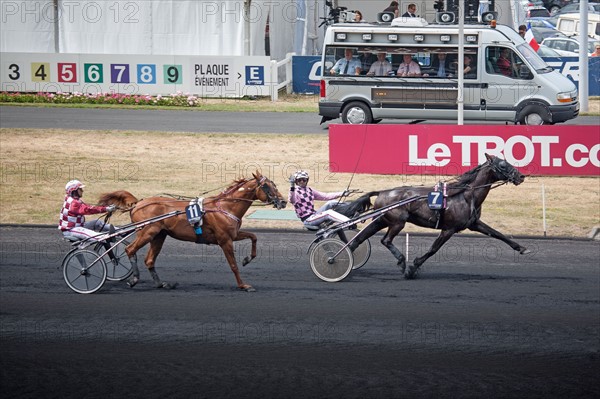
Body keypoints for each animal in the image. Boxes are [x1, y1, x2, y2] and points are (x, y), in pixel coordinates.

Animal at [98, 171, 286, 290]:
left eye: (274, 184)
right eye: (267, 186)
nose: (283, 202)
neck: (225, 206)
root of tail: (138, 203)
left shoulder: (232, 235)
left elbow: (253, 237)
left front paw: (247, 259)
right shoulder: (224, 240)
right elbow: (233, 265)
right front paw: (243, 285)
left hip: (159, 235)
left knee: (149, 260)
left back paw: (161, 284)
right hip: (147, 232)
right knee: (130, 250)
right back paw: (134, 279)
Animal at [342, 155, 528, 280]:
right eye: (503, 164)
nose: (521, 176)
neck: (465, 195)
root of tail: (382, 192)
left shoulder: (474, 223)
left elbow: (497, 233)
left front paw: (521, 248)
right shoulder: (449, 229)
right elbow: (433, 249)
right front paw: (413, 266)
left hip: (382, 220)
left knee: (359, 239)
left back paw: (343, 256)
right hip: (397, 222)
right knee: (385, 240)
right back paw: (402, 263)